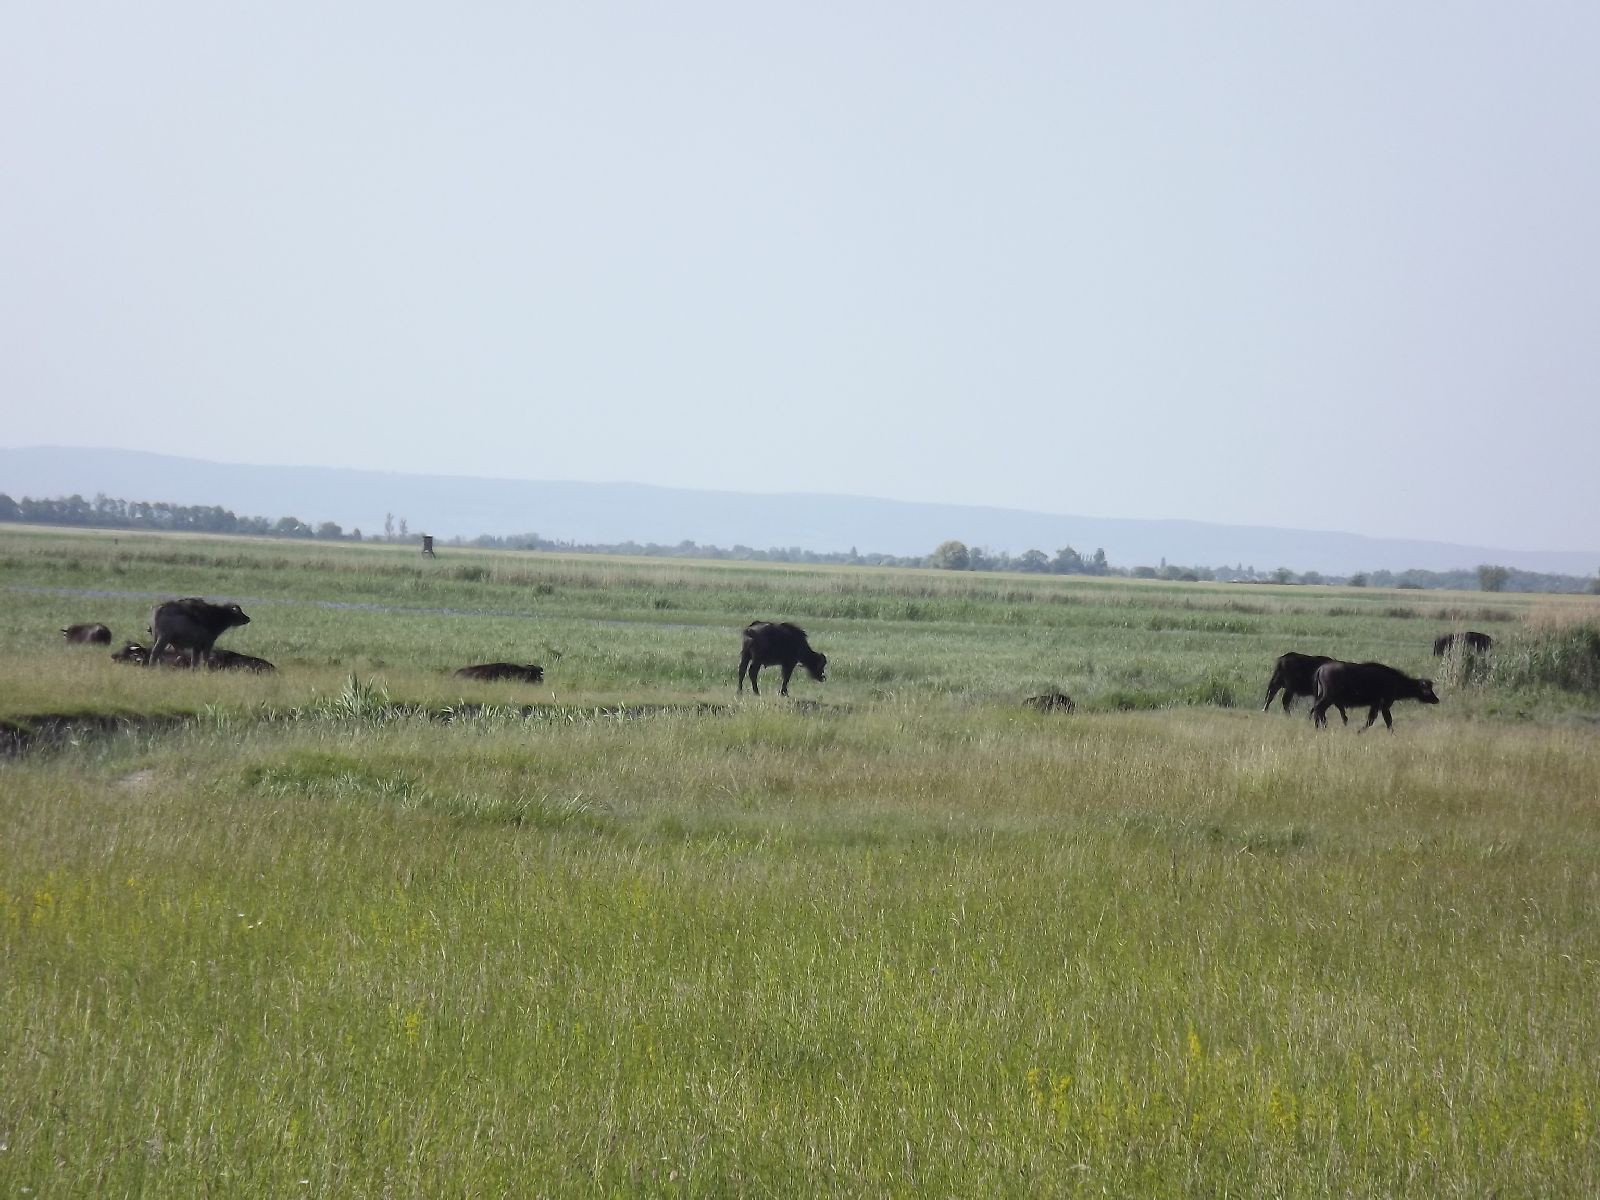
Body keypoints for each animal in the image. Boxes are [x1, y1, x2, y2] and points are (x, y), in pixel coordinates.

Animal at [1312, 659, 1440, 732]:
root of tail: (1321, 669)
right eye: (1427, 690)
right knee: (1318, 710)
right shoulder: (1384, 705)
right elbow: (1385, 720)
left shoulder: (1376, 705)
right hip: (1328, 698)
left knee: (1317, 711)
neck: (1395, 681)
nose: (1436, 700)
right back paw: (1323, 727)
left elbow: (1373, 720)